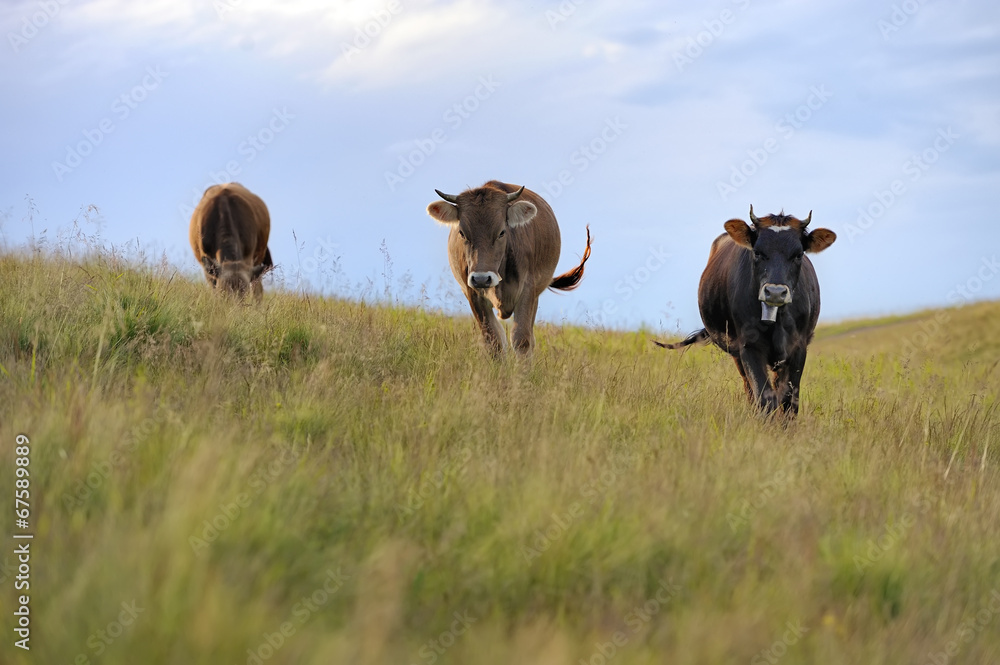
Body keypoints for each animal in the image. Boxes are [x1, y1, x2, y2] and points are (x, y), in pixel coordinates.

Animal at [424, 179, 592, 356]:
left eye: (501, 232)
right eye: (462, 233)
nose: (481, 278)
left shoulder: (527, 291)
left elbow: (522, 339)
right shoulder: (473, 294)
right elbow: (494, 340)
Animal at [656, 205, 836, 418]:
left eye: (799, 254)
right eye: (757, 252)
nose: (775, 292)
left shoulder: (798, 347)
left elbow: (789, 400)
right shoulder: (749, 346)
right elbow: (764, 397)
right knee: (749, 389)